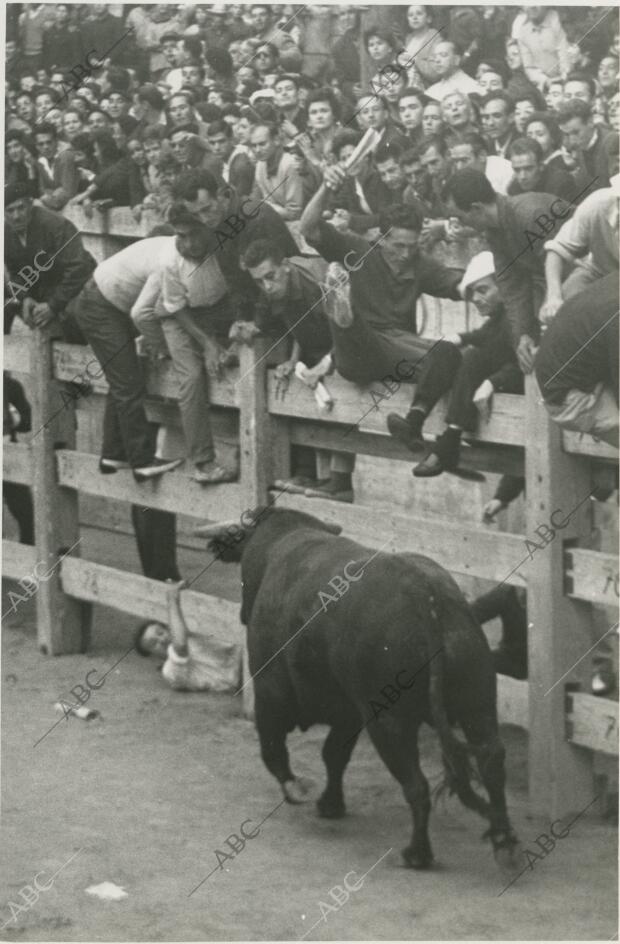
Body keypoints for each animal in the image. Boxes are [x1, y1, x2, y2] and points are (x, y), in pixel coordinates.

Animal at [206, 508, 520, 872]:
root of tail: (427, 597)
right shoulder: (348, 713)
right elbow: (334, 755)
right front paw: (331, 803)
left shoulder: (270, 691)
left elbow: (275, 748)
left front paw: (298, 789)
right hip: (478, 702)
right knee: (492, 761)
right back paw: (504, 842)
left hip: (389, 724)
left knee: (417, 784)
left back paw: (418, 853)